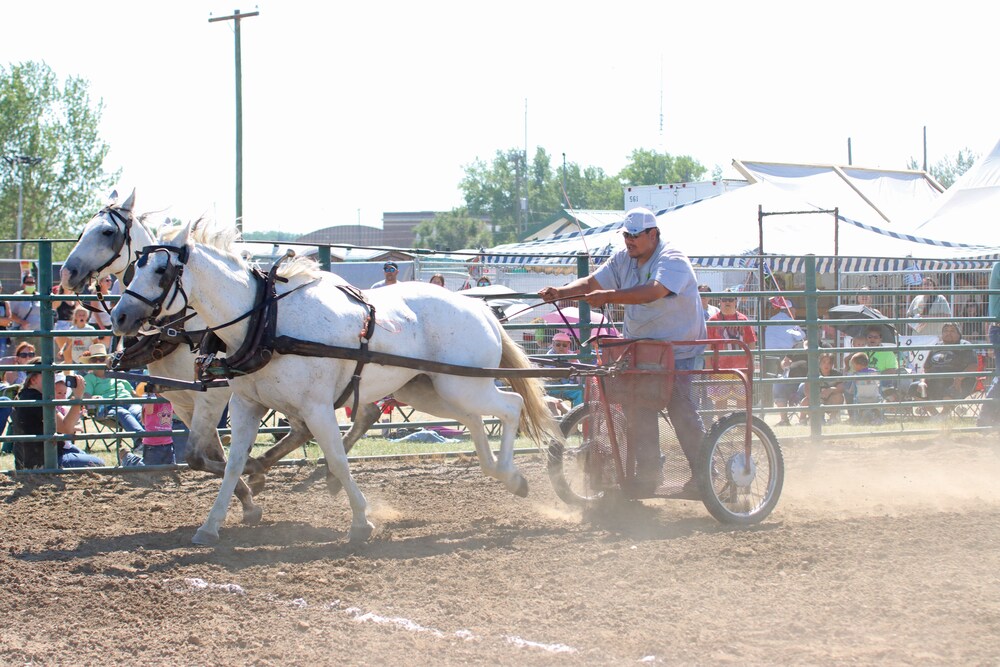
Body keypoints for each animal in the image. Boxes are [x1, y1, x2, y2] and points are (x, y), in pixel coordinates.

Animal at [59, 190, 386, 520]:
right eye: (83, 230)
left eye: (106, 232)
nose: (67, 272)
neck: (180, 325)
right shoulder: (183, 399)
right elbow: (207, 454)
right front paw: (247, 494)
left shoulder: (213, 396)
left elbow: (196, 455)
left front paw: (249, 485)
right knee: (345, 418)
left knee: (337, 420)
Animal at [113, 222, 560, 544]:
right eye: (135, 267)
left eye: (161, 270)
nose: (119, 317)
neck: (266, 321)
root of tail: (481, 309)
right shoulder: (245, 406)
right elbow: (234, 464)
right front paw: (213, 523)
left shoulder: (316, 408)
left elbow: (338, 460)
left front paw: (361, 522)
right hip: (429, 389)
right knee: (474, 420)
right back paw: (502, 473)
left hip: (461, 385)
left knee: (511, 406)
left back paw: (510, 472)